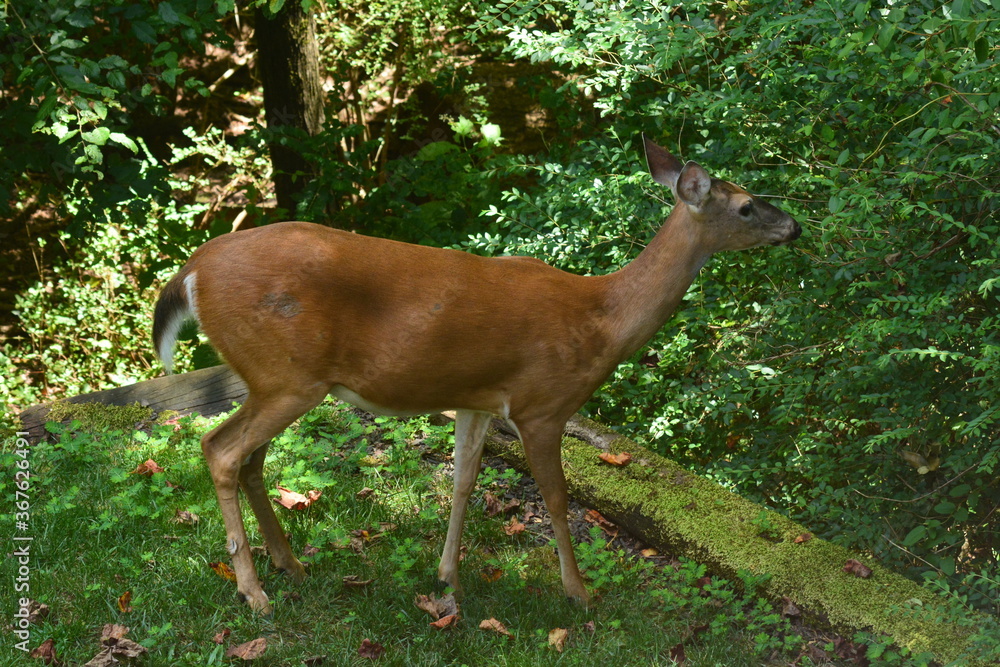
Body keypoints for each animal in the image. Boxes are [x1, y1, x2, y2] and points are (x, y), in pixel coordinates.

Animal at [152, 137, 800, 616]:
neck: (602, 318)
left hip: (273, 379)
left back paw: (289, 563)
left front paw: (448, 579)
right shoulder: (543, 405)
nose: (794, 227)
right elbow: (558, 498)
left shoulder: (477, 399)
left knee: (249, 459)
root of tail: (189, 273)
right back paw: (253, 591)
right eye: (746, 206)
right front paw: (579, 593)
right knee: (220, 449)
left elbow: (463, 481)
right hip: (287, 377)